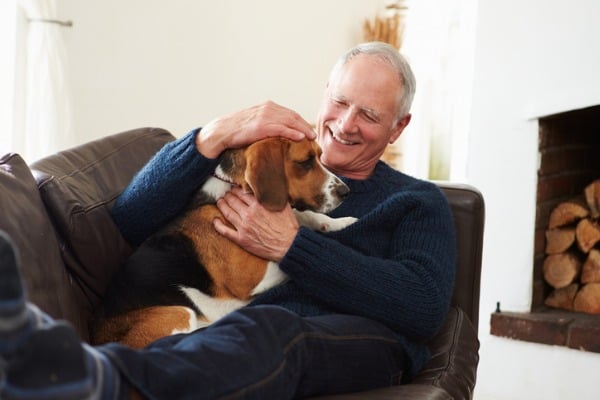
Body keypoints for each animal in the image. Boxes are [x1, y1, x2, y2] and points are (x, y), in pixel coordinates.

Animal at [91, 137, 358, 346]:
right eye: (305, 162)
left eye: (320, 157)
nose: (346, 192)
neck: (230, 190)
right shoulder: (249, 277)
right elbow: (286, 263)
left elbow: (306, 218)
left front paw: (339, 223)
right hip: (177, 312)